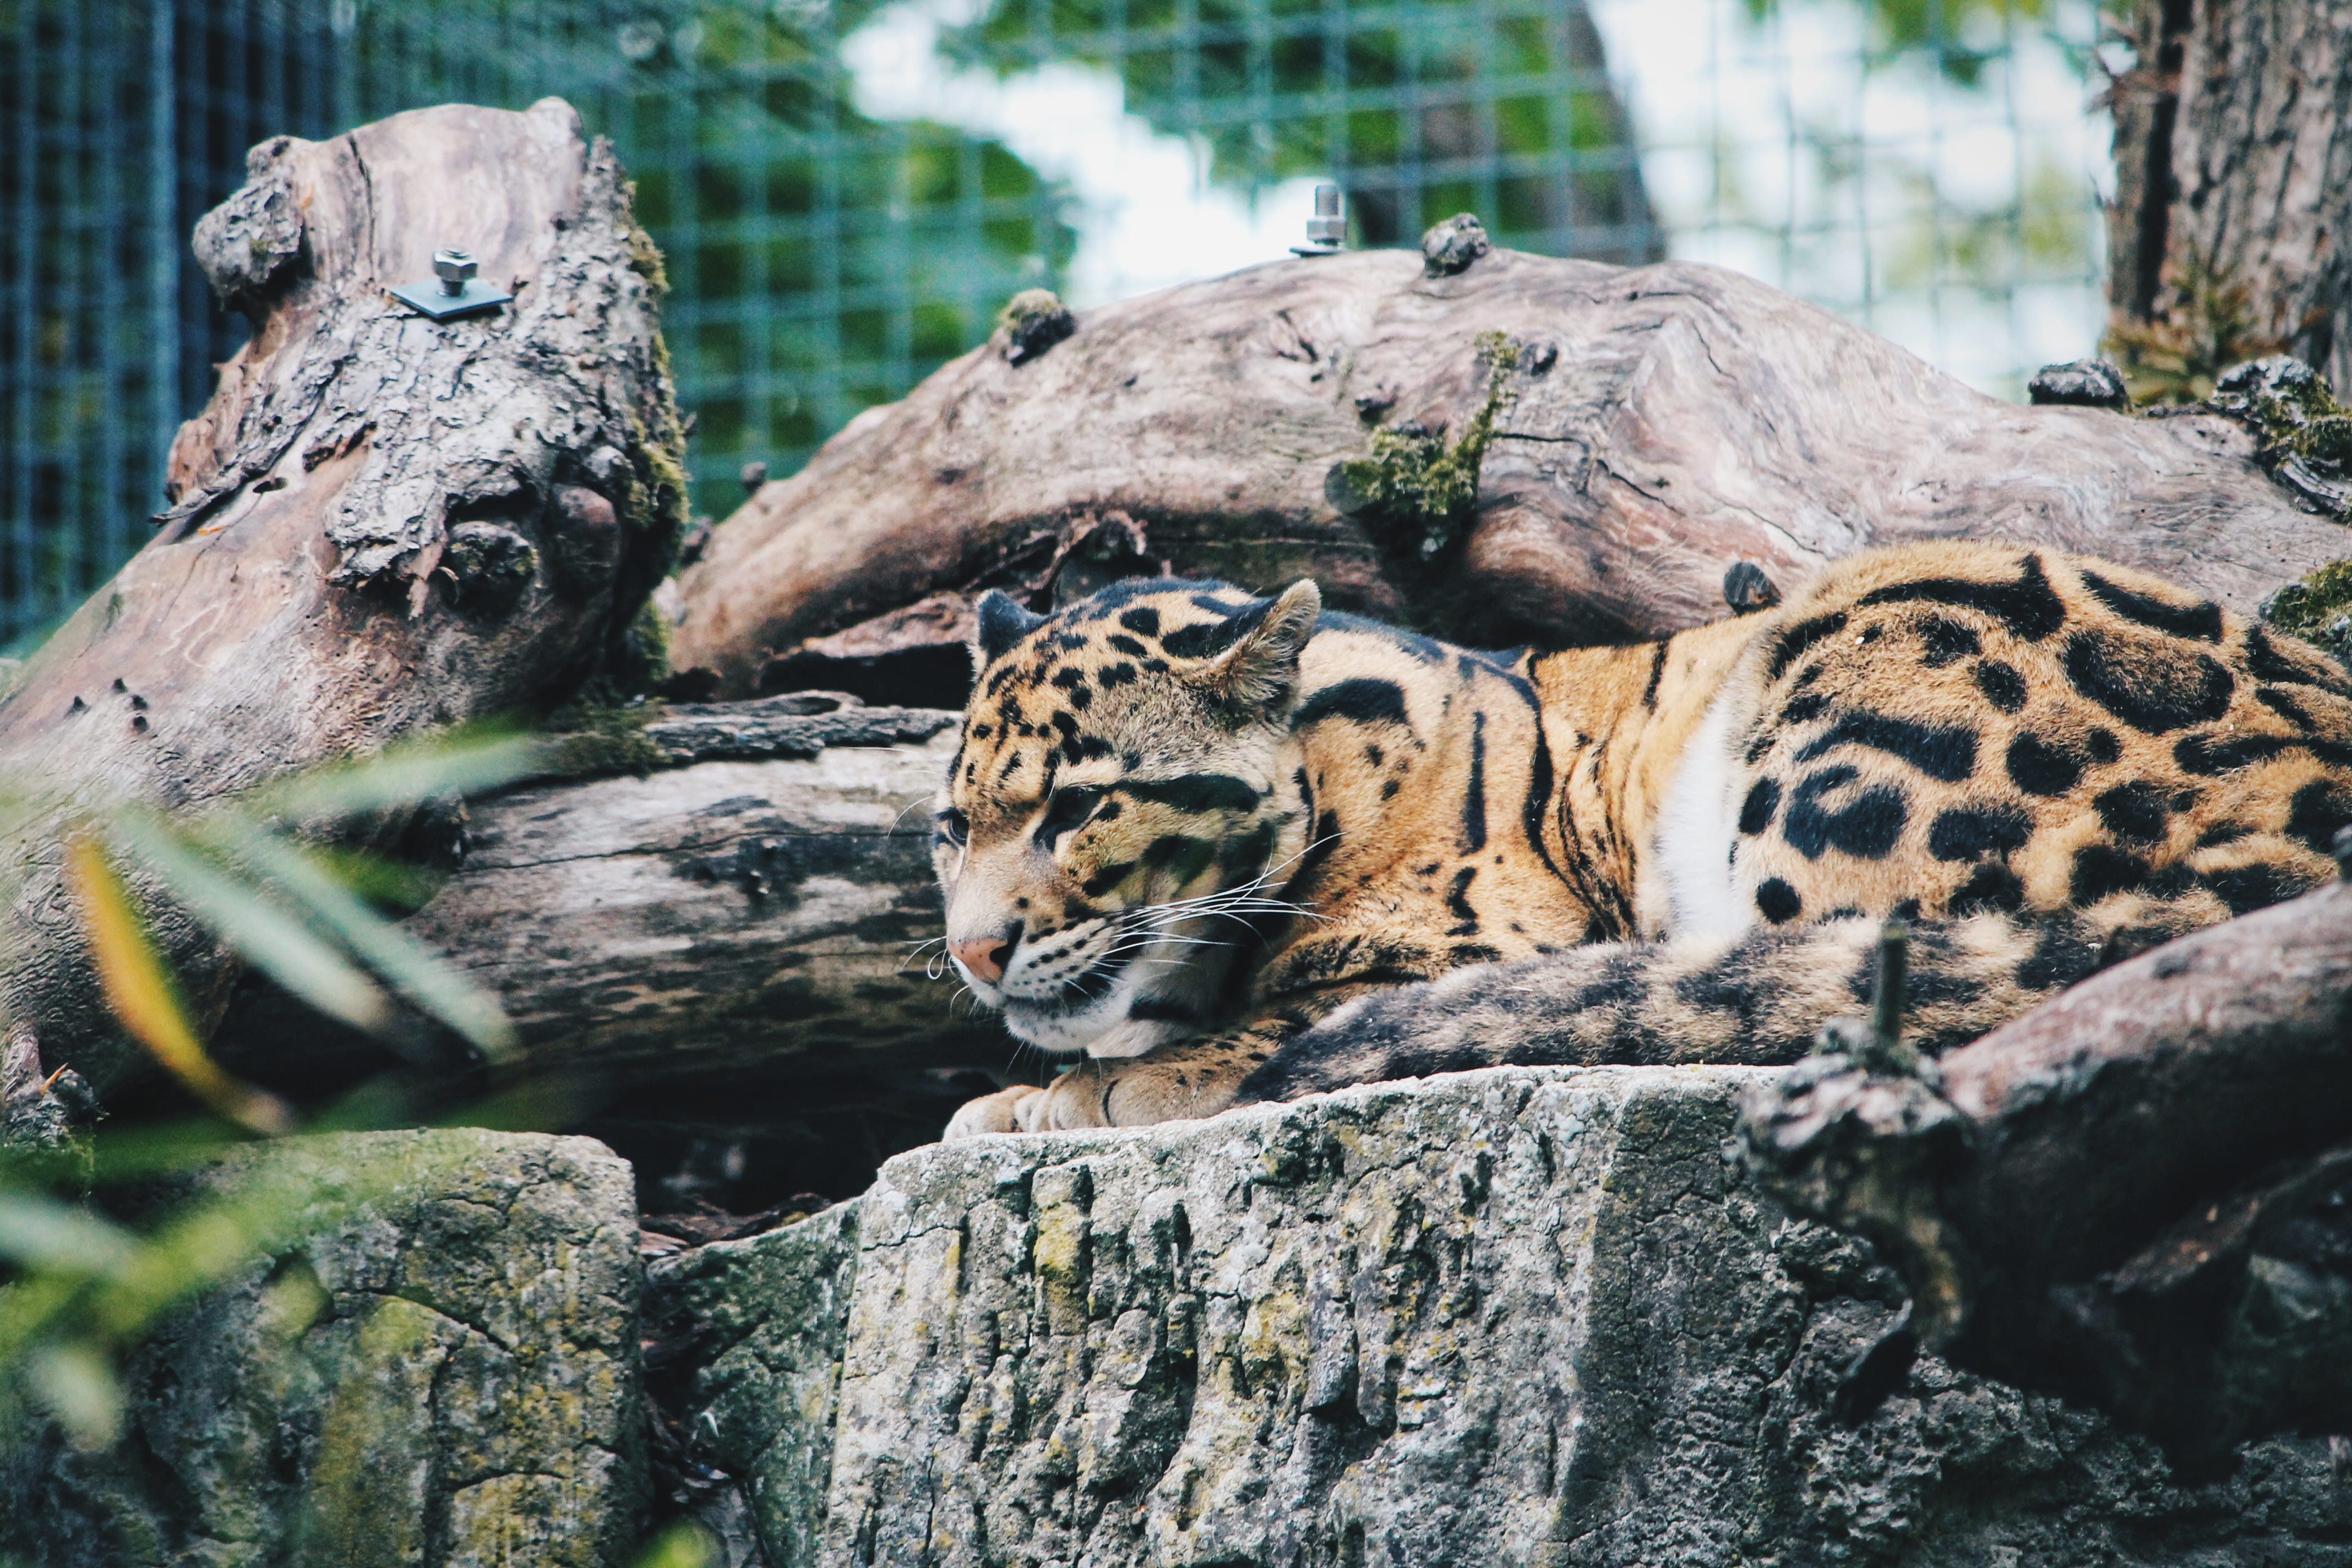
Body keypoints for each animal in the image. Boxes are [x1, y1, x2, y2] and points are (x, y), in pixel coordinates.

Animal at [932, 542, 2352, 1140]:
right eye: (951, 828)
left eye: (1077, 807)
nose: (973, 950)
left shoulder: (1482, 939)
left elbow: (1265, 1020)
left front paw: (1071, 1092)